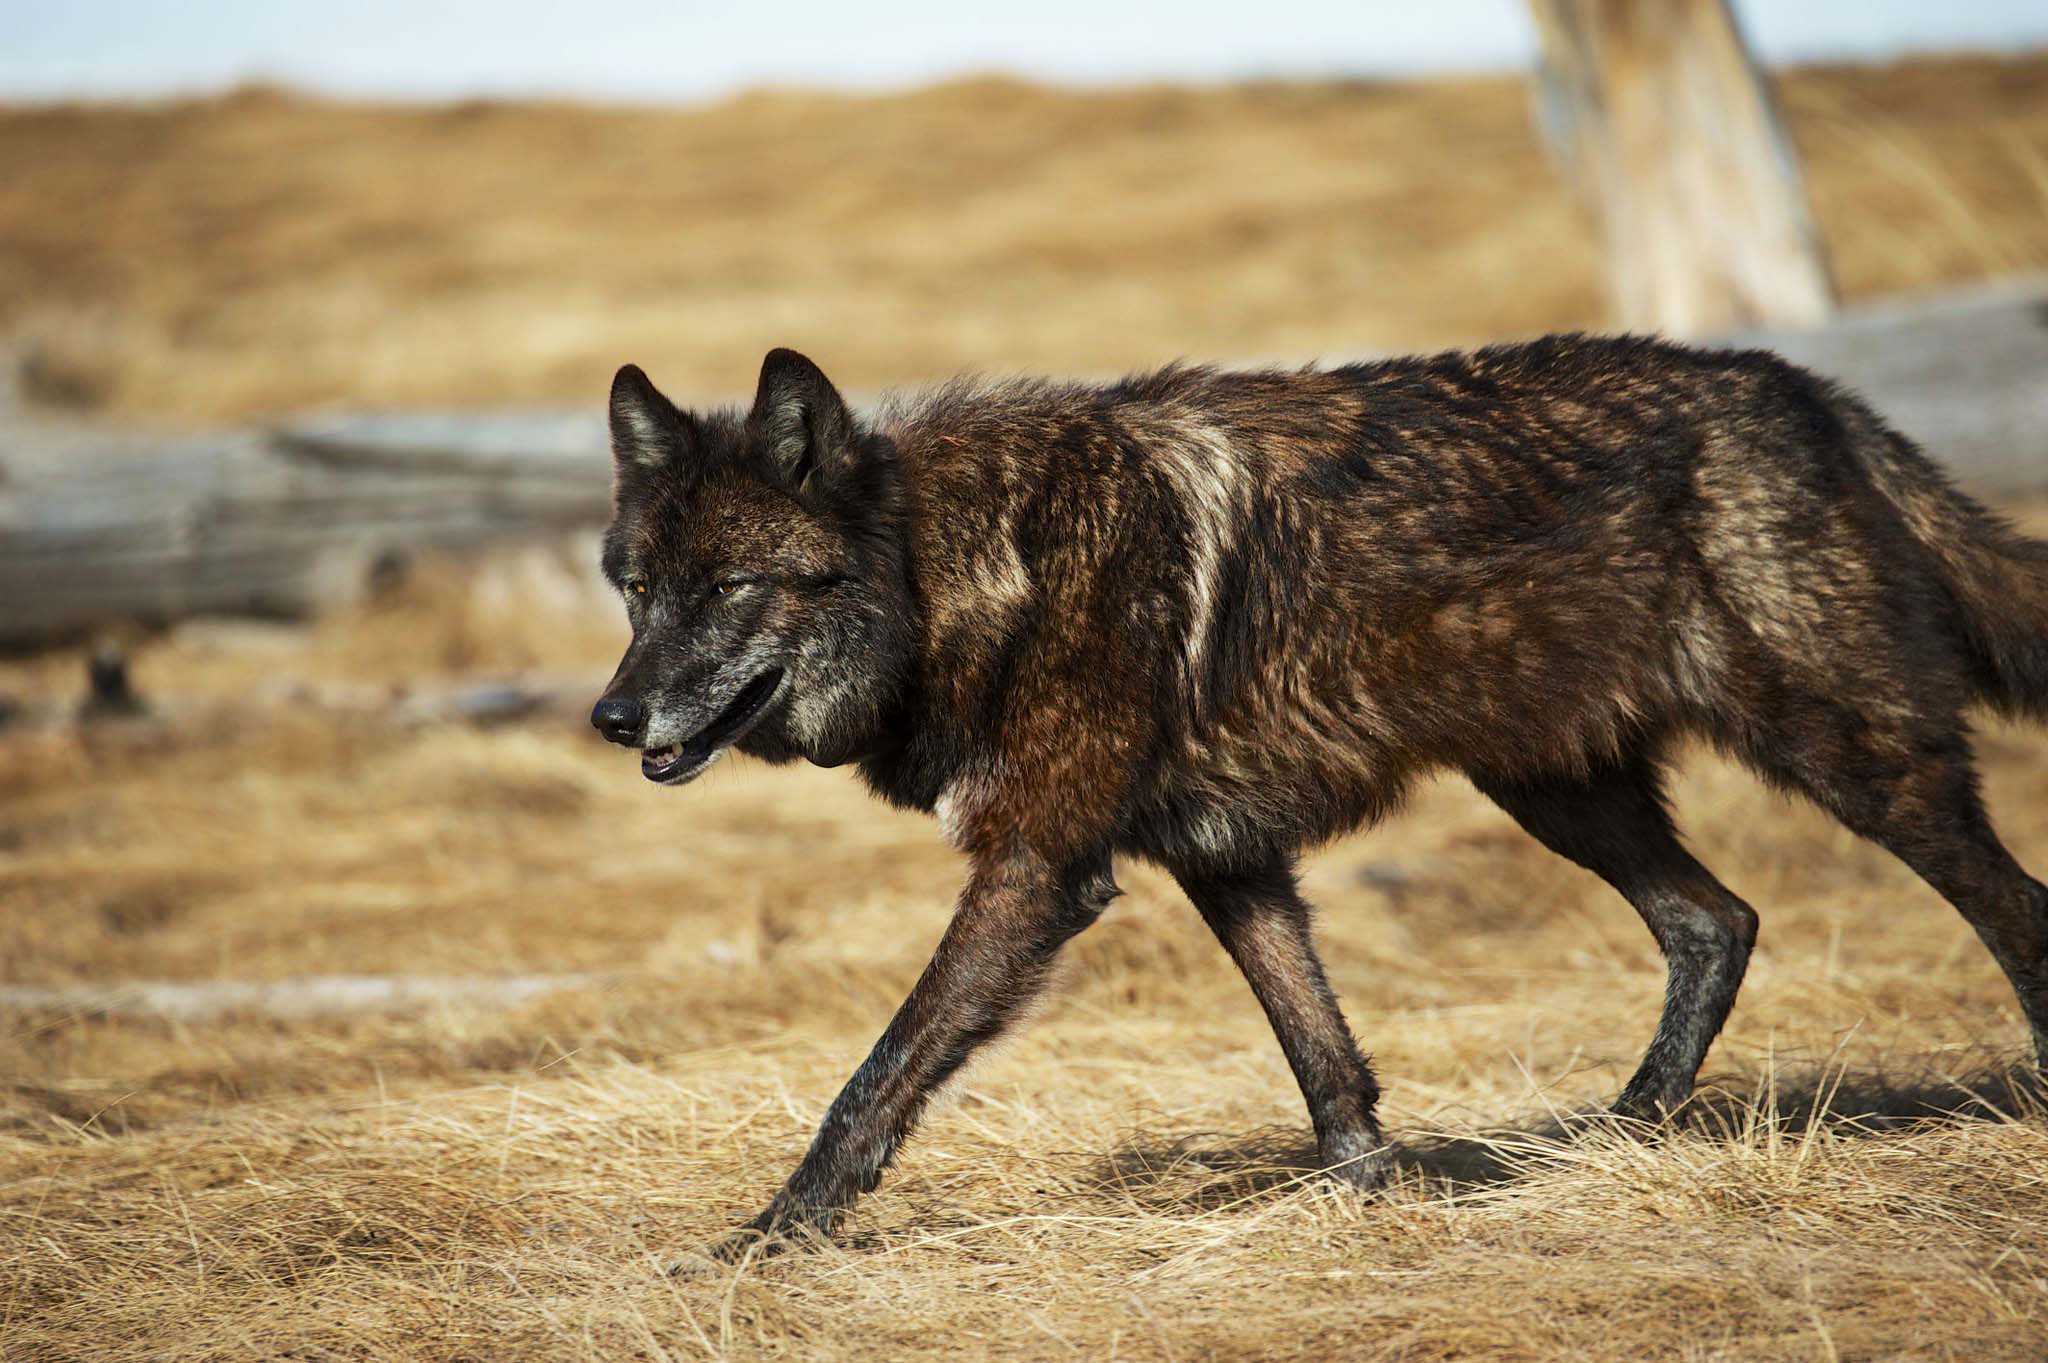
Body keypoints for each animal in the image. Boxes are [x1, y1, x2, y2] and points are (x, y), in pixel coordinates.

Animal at [590, 338, 2048, 1254]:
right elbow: (1323, 1056)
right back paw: (1618, 1133)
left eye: (730, 587)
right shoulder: (1225, 860)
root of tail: (1805, 389)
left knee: (2007, 905)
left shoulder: (1039, 869)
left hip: (1849, 757)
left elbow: (876, 1073)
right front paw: (1372, 1202)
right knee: (1716, 920)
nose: (610, 720)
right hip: (1556, 787)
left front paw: (767, 1238)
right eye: (637, 589)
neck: (963, 576)